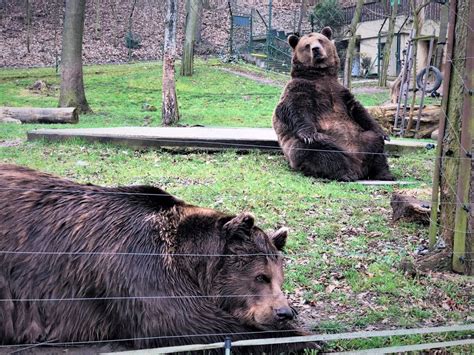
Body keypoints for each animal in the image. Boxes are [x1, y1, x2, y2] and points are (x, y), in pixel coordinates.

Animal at [0, 165, 318, 354]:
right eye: (260, 276)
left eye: (280, 278)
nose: (284, 312)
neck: (189, 261)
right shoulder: (138, 269)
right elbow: (189, 324)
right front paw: (301, 337)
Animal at [272, 27, 394, 182]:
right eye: (307, 45)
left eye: (320, 40)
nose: (316, 49)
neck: (321, 75)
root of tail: (357, 164)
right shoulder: (300, 88)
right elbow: (294, 108)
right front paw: (308, 134)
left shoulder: (340, 92)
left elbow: (358, 110)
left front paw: (384, 134)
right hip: (318, 143)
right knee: (318, 152)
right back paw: (345, 173)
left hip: (362, 139)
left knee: (375, 145)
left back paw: (385, 174)